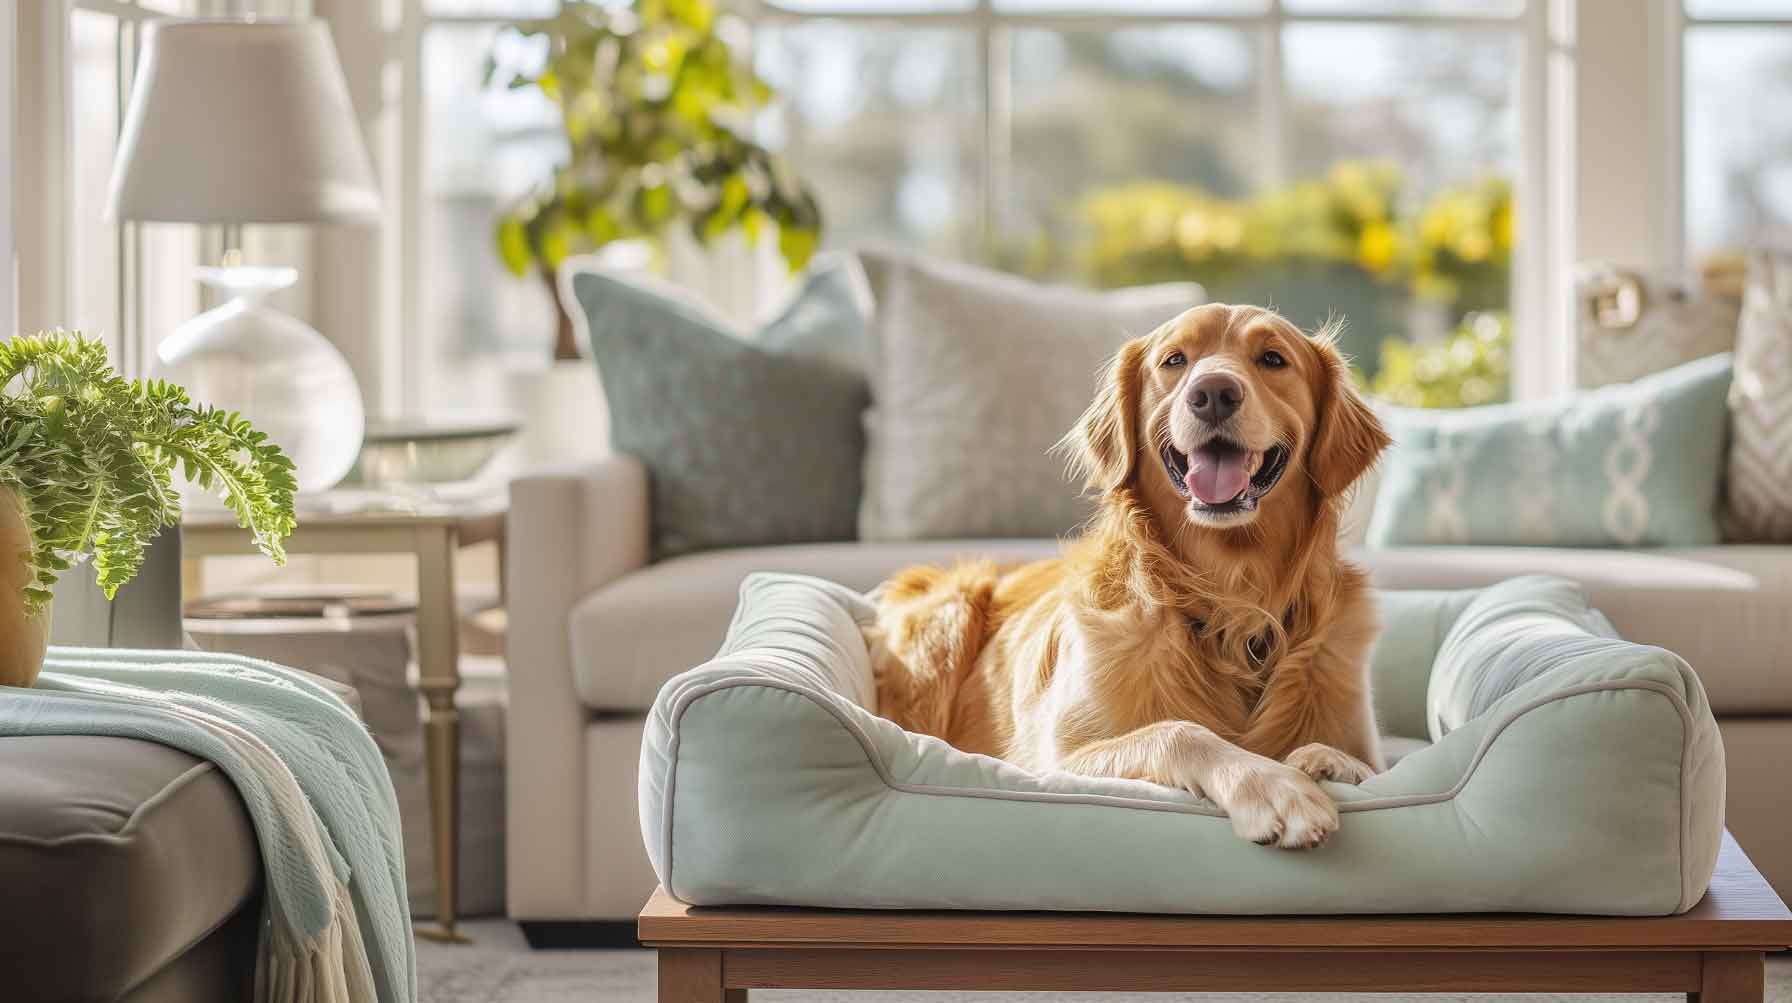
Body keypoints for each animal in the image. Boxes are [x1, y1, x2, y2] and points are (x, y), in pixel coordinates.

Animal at [874, 304, 1390, 845]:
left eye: (1273, 359)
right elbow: (1177, 732)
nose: (1213, 394)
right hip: (948, 617)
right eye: (1175, 359)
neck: (1231, 601)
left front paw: (1326, 760)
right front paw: (1272, 786)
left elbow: (1364, 766)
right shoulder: (1056, 762)